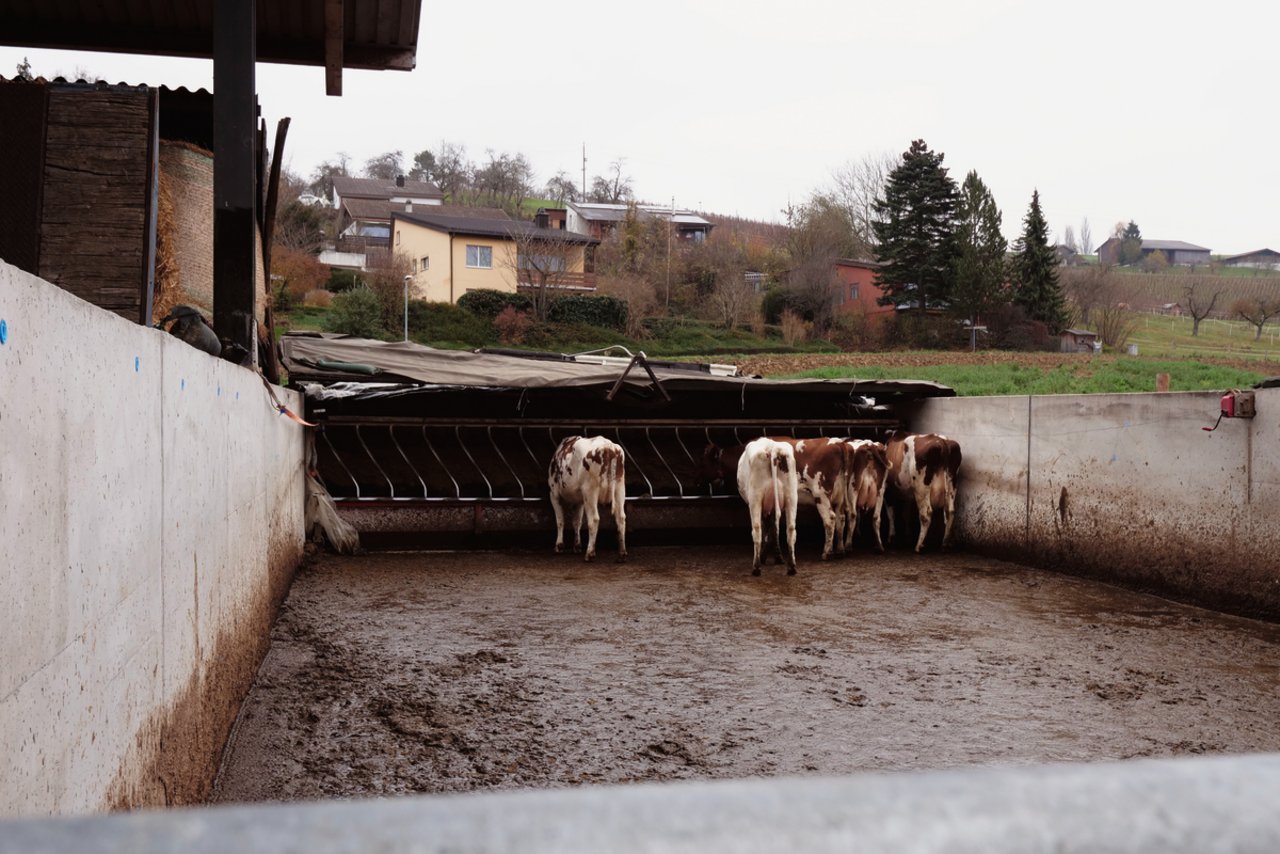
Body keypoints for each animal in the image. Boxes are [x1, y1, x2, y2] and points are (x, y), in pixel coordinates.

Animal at [737, 440, 793, 573]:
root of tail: (772, 448)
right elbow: (773, 528)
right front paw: (778, 557)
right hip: (791, 495)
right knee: (790, 529)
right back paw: (791, 567)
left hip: (755, 498)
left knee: (757, 529)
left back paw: (757, 566)